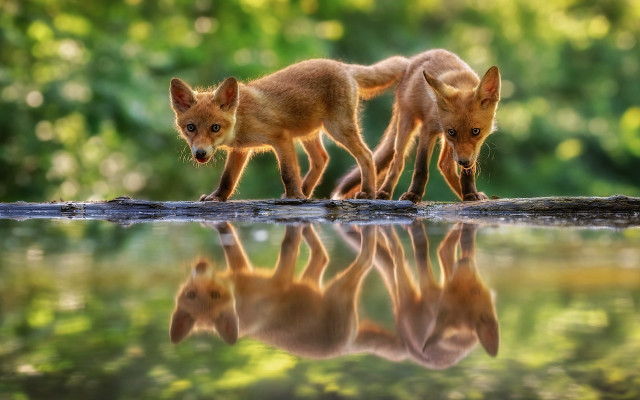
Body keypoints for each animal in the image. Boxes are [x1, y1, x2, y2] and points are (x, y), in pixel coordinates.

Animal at [169, 56, 408, 201]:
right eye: (191, 127)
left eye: (215, 127)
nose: (200, 153)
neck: (242, 119)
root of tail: (342, 65)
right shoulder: (240, 150)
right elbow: (227, 179)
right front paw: (217, 197)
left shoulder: (281, 137)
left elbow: (287, 173)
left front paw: (294, 196)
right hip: (308, 134)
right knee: (322, 159)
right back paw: (307, 192)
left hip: (338, 128)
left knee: (366, 155)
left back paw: (367, 192)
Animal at [332, 49, 501, 203]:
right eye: (452, 132)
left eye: (475, 131)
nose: (463, 162)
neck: (461, 82)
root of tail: (410, 61)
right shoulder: (428, 129)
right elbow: (421, 167)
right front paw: (413, 195)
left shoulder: (472, 147)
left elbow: (468, 172)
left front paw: (470, 194)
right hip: (407, 122)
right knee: (397, 161)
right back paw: (384, 192)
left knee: (445, 165)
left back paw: (464, 195)